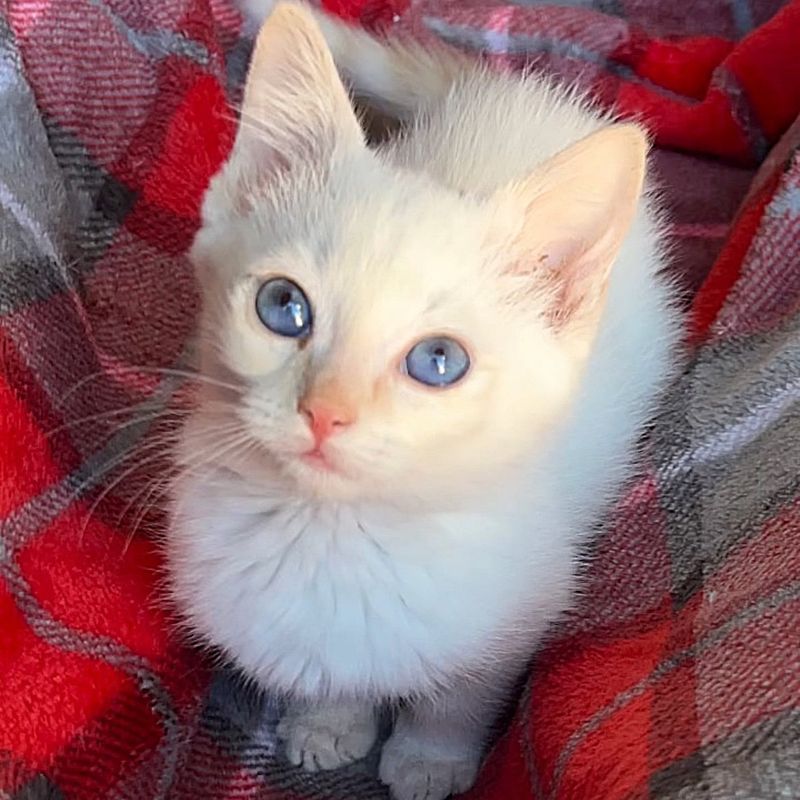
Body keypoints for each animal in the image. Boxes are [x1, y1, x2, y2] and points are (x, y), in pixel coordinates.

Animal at [167, 6, 680, 800]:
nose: (326, 412)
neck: (335, 537)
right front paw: (328, 725)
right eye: (283, 307)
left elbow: (461, 694)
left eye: (438, 362)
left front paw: (430, 760)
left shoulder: (517, 611)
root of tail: (512, 89)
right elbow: (329, 677)